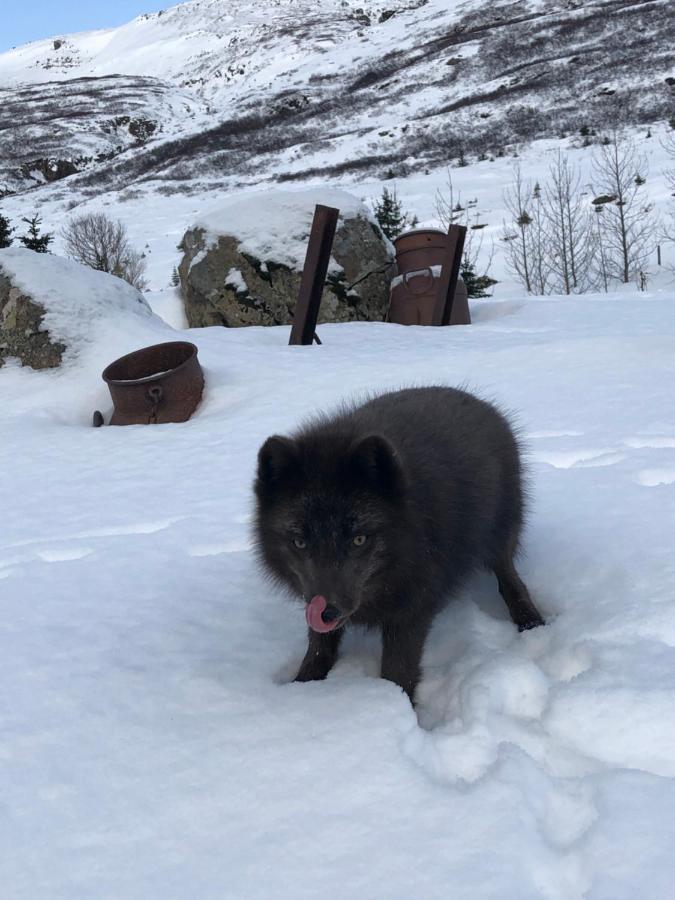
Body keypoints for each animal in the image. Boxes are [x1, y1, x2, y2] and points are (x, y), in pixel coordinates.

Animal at [254, 386, 544, 704]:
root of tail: (482, 403)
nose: (327, 613)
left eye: (358, 538)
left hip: (502, 532)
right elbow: (317, 649)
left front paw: (396, 707)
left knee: (509, 576)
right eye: (300, 542)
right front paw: (300, 691)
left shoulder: (412, 608)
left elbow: (399, 672)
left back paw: (530, 621)